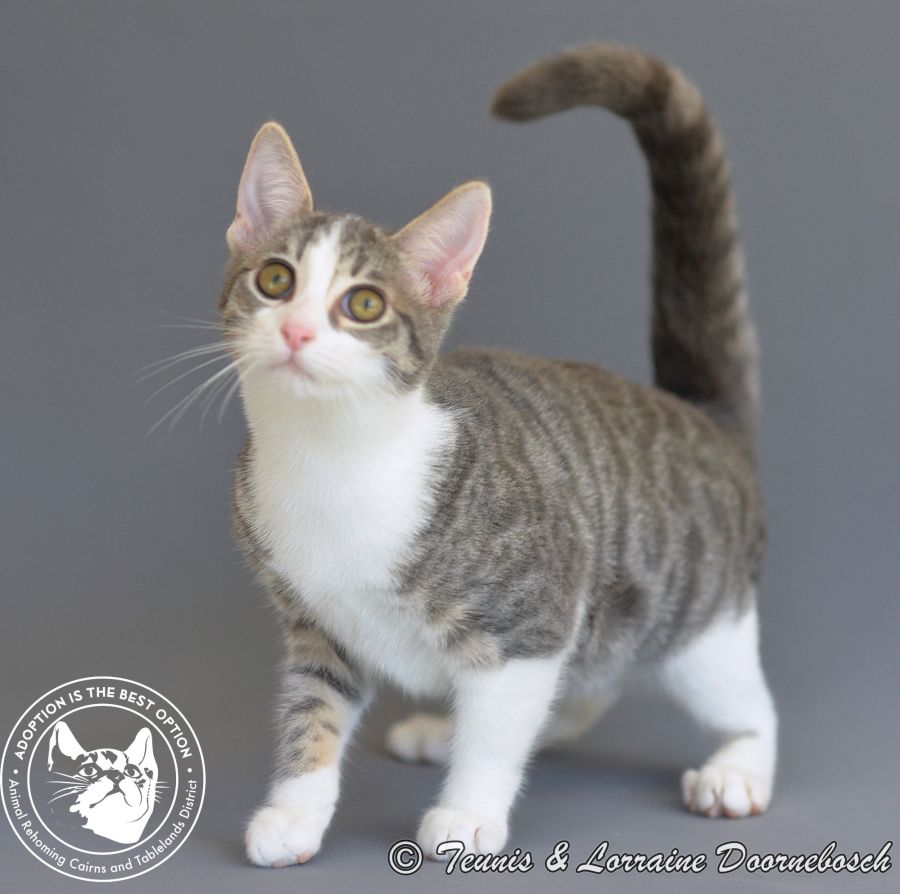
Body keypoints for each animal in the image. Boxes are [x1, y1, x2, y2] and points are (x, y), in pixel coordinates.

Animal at [217, 43, 777, 866]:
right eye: (275, 279)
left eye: (364, 305)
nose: (296, 332)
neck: (334, 458)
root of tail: (699, 414)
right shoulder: (318, 625)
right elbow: (310, 714)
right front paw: (295, 812)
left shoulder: (532, 615)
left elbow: (498, 727)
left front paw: (467, 813)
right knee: (580, 688)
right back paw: (444, 728)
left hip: (700, 623)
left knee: (745, 703)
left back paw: (737, 766)